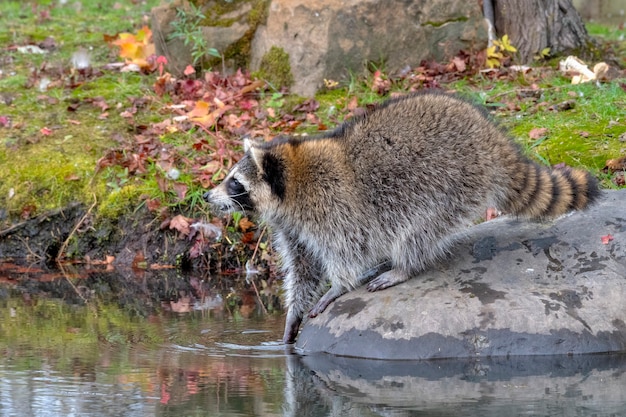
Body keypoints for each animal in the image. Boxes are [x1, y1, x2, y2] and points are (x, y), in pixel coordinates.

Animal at [204, 92, 596, 344]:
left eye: (234, 182)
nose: (207, 196)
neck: (291, 183)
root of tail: (489, 138)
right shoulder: (294, 227)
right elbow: (304, 268)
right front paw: (292, 315)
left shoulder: (332, 205)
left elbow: (346, 250)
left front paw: (338, 287)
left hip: (447, 181)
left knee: (418, 227)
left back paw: (403, 265)